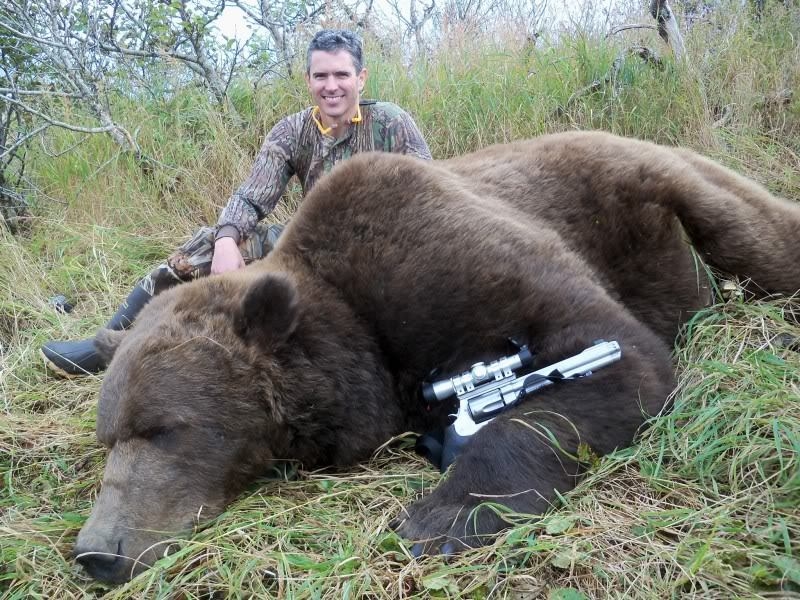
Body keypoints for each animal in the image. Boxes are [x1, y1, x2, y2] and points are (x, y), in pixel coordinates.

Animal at [73, 130, 800, 580]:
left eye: (163, 429)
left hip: (658, 185)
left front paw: (439, 518)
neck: (354, 326)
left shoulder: (449, 248)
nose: (95, 553)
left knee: (756, 236)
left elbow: (615, 356)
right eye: (109, 439)